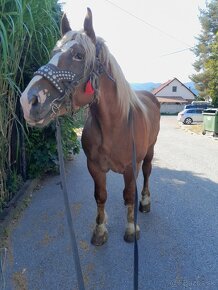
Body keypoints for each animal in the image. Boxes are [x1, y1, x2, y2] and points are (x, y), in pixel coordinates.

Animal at [20, 8, 160, 245]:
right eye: (53, 52)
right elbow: (100, 196)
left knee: (147, 173)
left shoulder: (131, 167)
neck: (115, 127)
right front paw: (100, 230)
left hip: (149, 151)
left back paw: (145, 202)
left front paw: (131, 229)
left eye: (79, 55)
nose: (28, 102)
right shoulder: (94, 168)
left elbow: (129, 195)